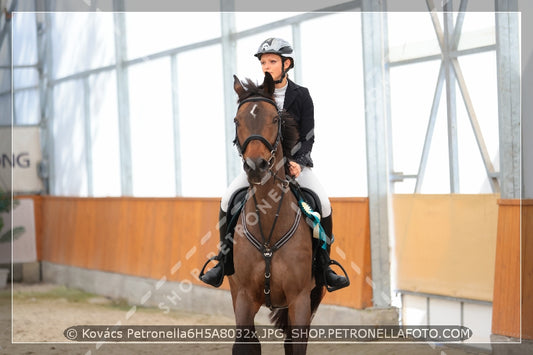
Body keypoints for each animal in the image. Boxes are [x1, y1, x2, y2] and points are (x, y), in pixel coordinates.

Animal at [230, 73, 324, 355]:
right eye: (237, 120)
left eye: (275, 119)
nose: (256, 166)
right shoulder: (243, 297)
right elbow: (245, 345)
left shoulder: (300, 299)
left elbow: (297, 346)